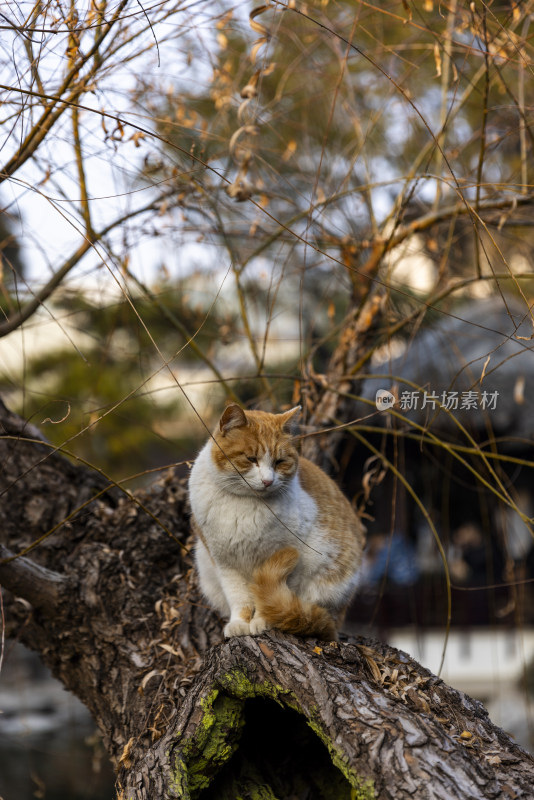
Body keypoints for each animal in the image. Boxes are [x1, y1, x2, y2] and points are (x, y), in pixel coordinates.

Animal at [186, 404, 366, 640]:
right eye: (251, 459)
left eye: (280, 462)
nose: (267, 481)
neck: (244, 505)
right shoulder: (225, 564)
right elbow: (239, 599)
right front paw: (239, 623)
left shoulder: (294, 560)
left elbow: (271, 597)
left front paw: (264, 620)